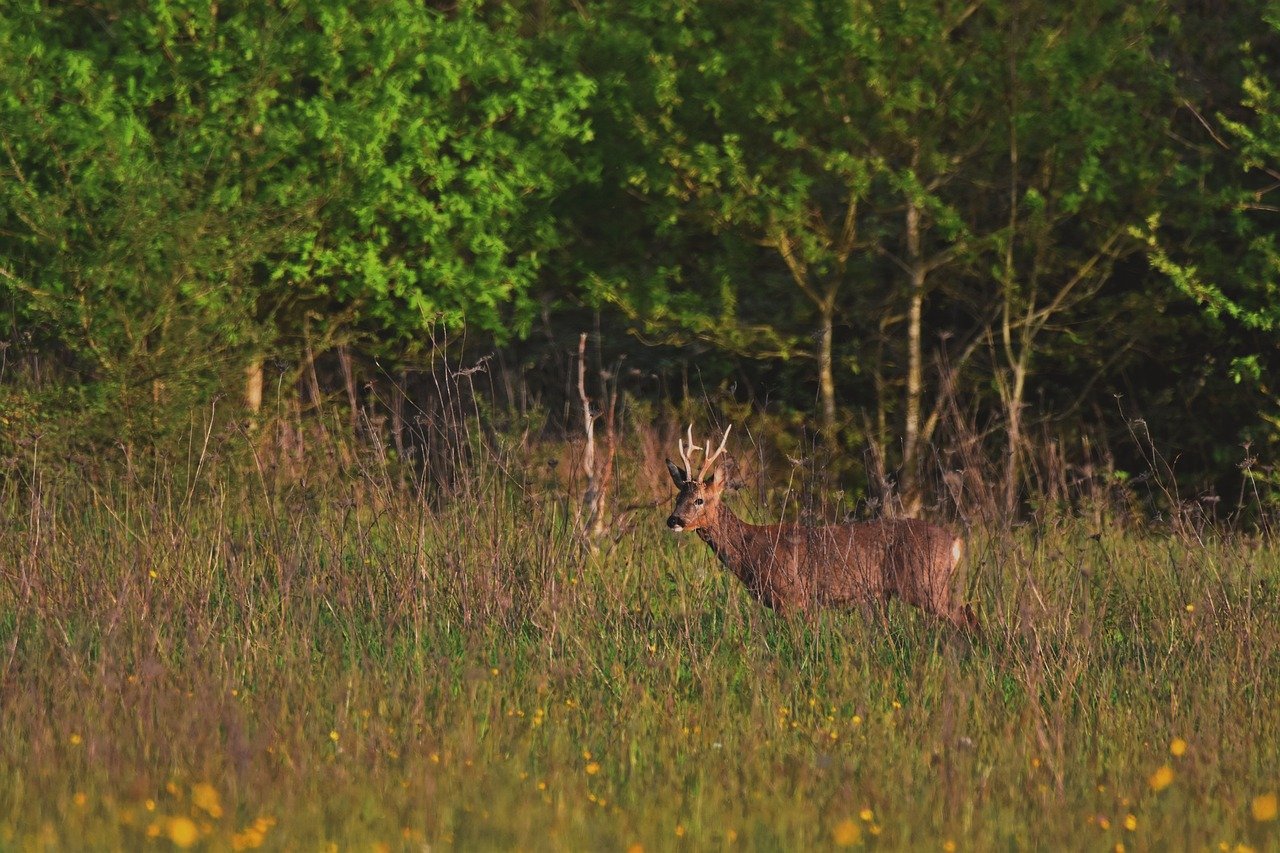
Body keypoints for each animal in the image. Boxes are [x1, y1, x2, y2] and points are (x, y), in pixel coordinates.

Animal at [665, 425, 978, 631]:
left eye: (699, 499)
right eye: (677, 497)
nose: (674, 520)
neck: (751, 550)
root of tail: (956, 542)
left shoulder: (792, 596)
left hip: (926, 584)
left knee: (966, 618)